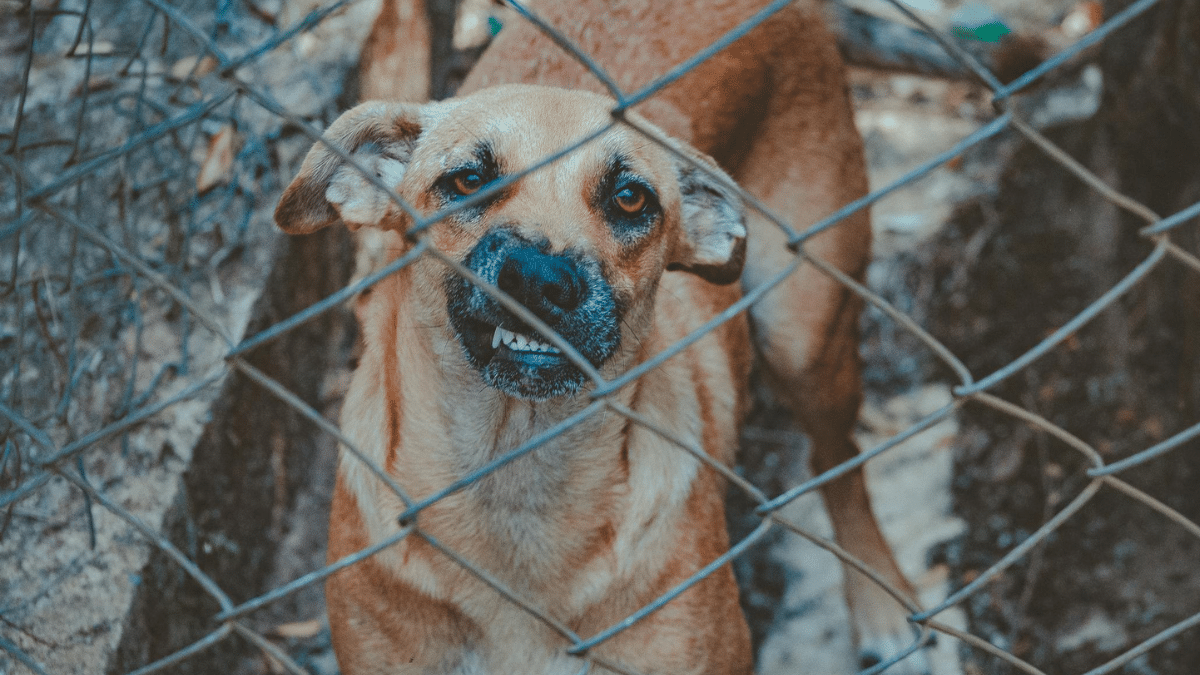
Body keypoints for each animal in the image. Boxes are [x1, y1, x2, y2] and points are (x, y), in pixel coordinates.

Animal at [274, 2, 926, 667]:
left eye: (631, 198)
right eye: (467, 181)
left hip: (805, 337)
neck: (515, 479)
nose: (539, 281)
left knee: (838, 461)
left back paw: (881, 604)